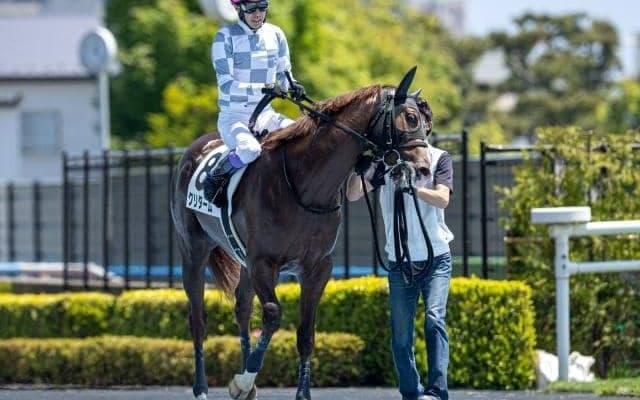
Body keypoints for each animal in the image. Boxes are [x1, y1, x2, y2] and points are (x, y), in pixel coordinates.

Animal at [170, 67, 433, 400]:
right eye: (410, 117)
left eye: (426, 122)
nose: (424, 169)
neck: (303, 184)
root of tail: (194, 150)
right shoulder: (264, 263)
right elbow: (272, 314)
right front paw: (241, 381)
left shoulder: (316, 267)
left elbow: (306, 332)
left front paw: (295, 392)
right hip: (193, 250)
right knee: (198, 318)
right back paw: (203, 388)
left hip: (241, 260)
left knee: (242, 308)